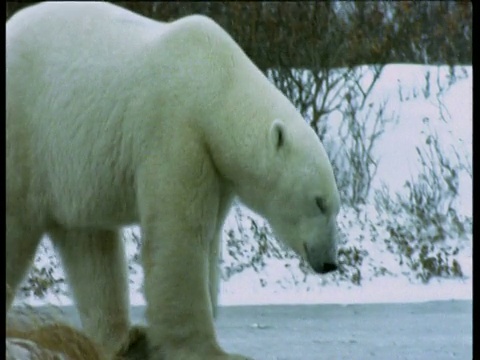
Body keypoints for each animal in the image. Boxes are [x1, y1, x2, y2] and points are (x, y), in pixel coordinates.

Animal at [5, 2, 340, 360]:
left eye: (335, 206)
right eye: (319, 202)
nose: (329, 262)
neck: (215, 83)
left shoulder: (216, 166)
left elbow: (209, 237)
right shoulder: (175, 130)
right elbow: (181, 234)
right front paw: (205, 349)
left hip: (70, 166)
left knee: (90, 246)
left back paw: (124, 340)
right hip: (26, 134)